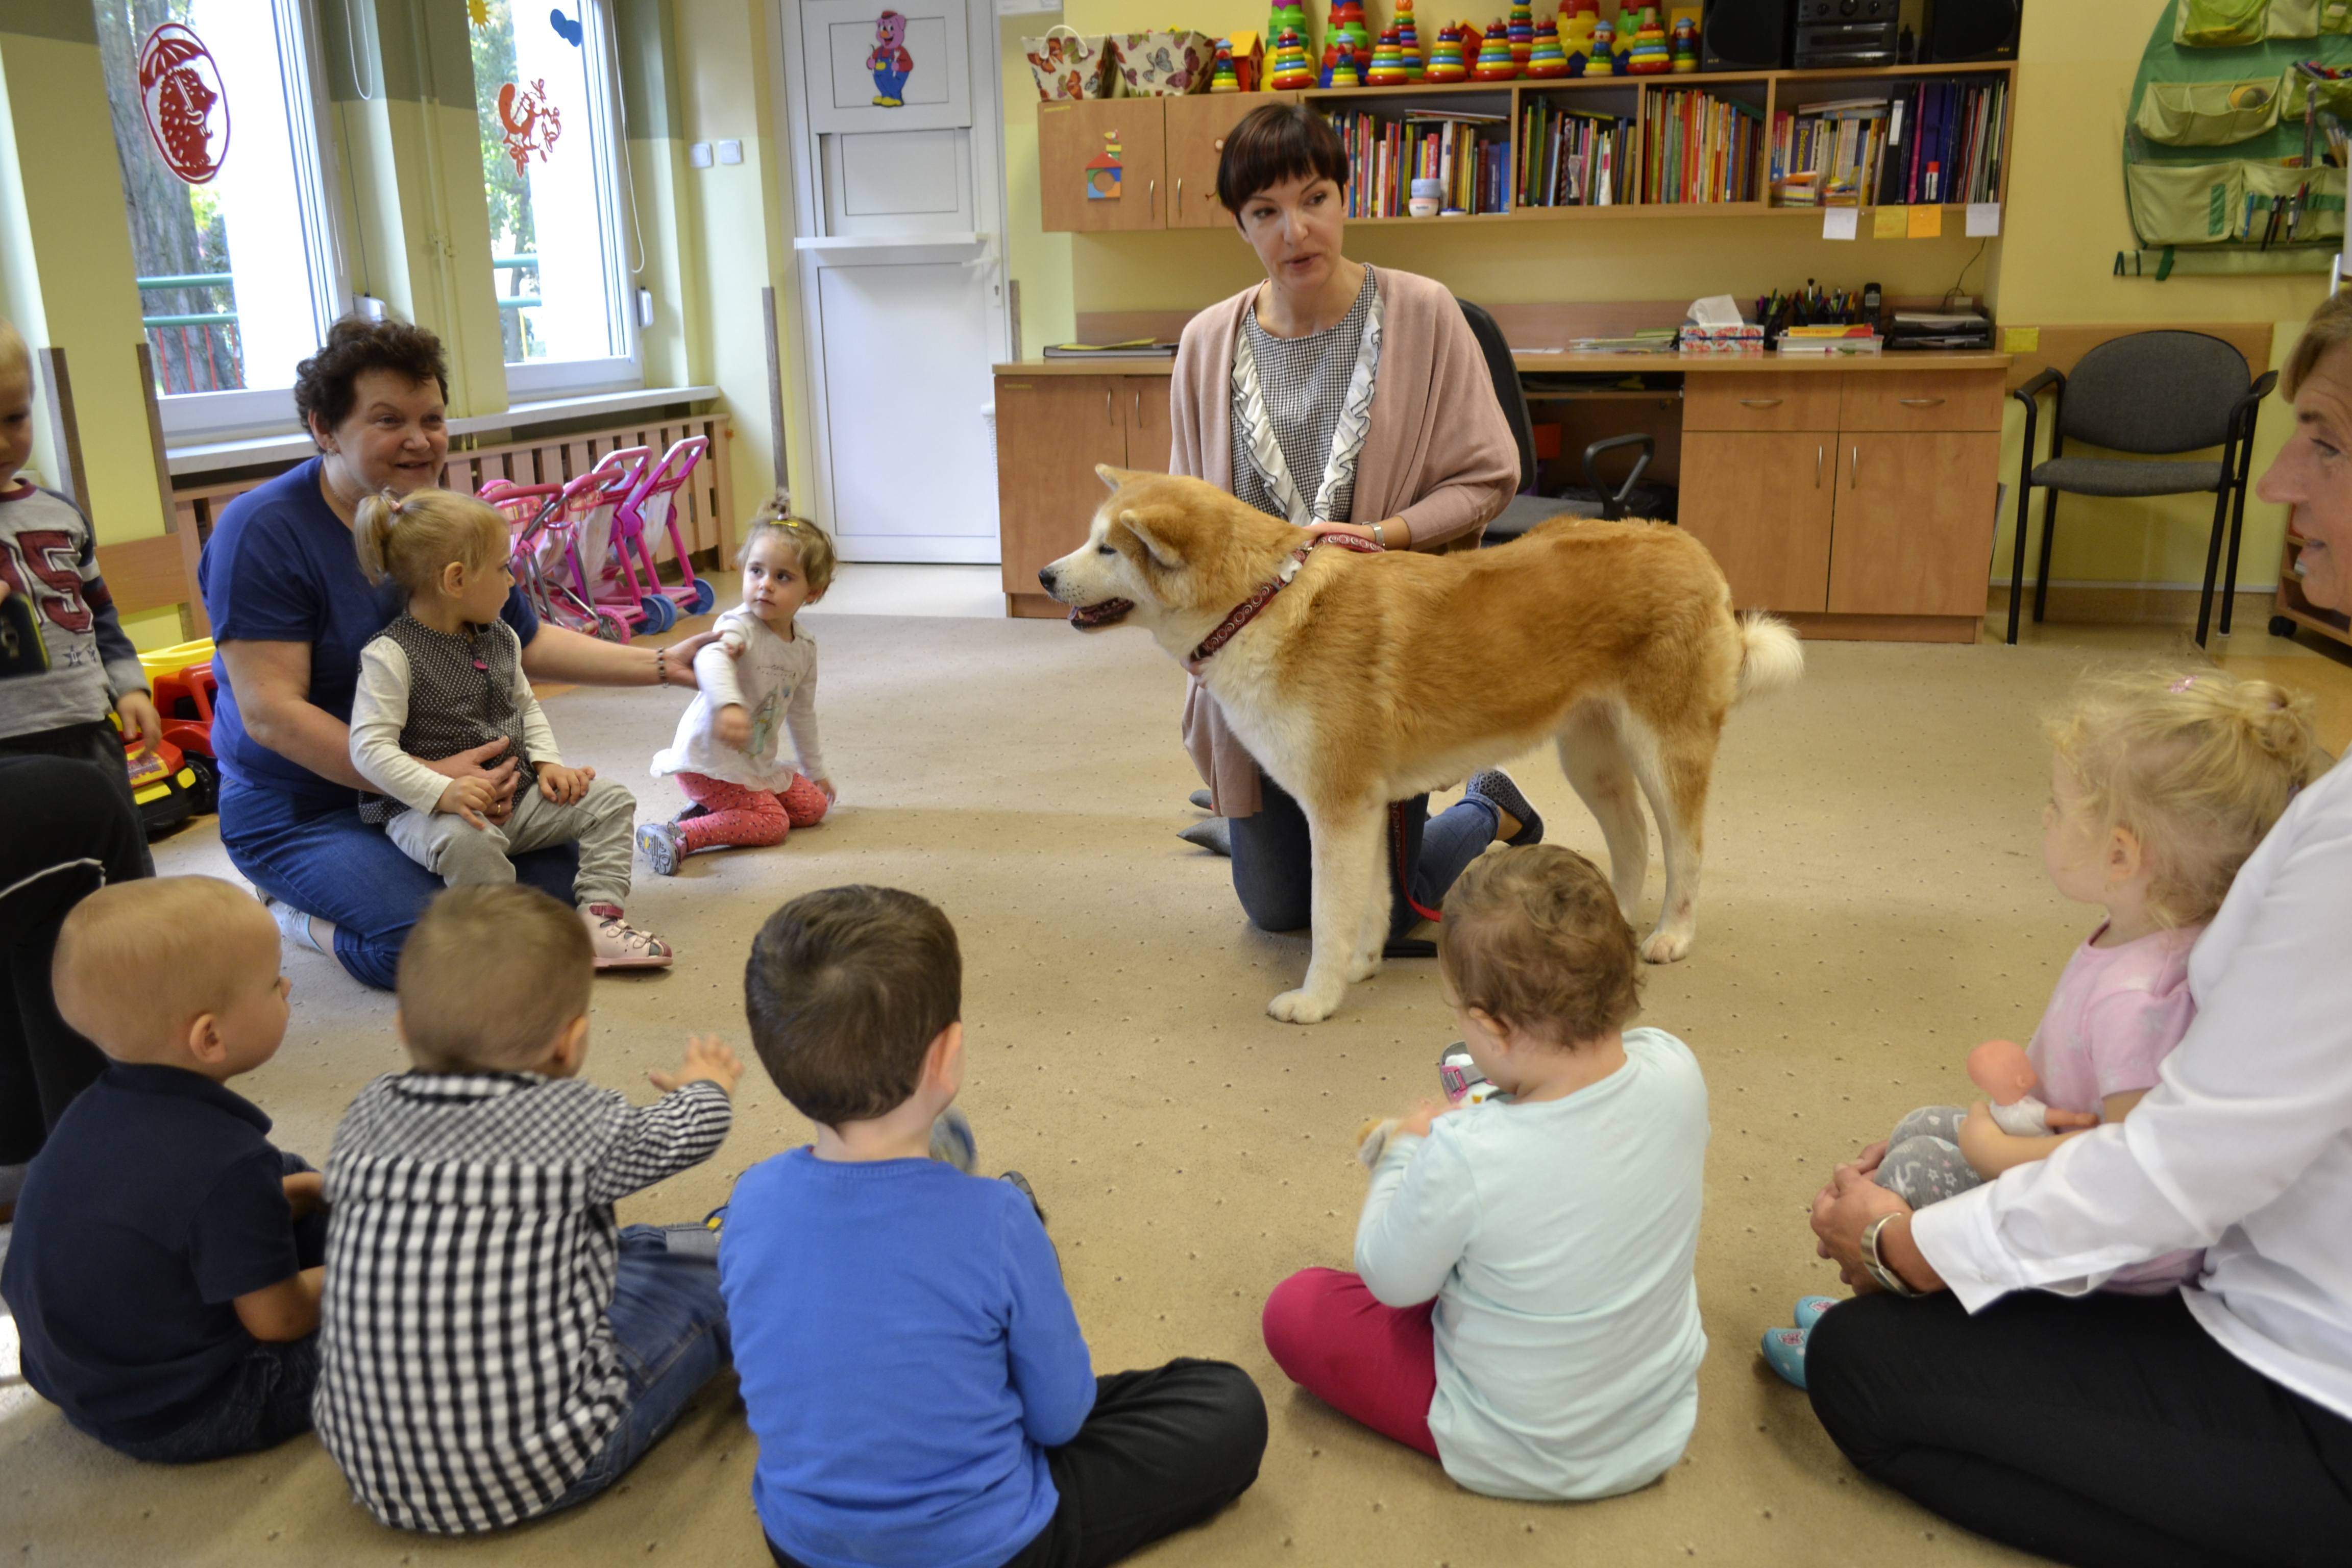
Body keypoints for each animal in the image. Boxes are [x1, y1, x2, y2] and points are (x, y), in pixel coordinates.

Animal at [1044, 465, 1797, 1030]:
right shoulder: (1366, 809)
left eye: (1109, 549)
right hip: (1590, 757)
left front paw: (1317, 998)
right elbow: (1372, 903)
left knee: (1685, 850)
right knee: (1634, 839)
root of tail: (1685, 544)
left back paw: (1672, 934)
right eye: (1090, 540)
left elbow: (1326, 914)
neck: (1261, 605)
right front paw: (1361, 967)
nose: (1047, 575)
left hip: (1665, 752)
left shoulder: (1336, 809)